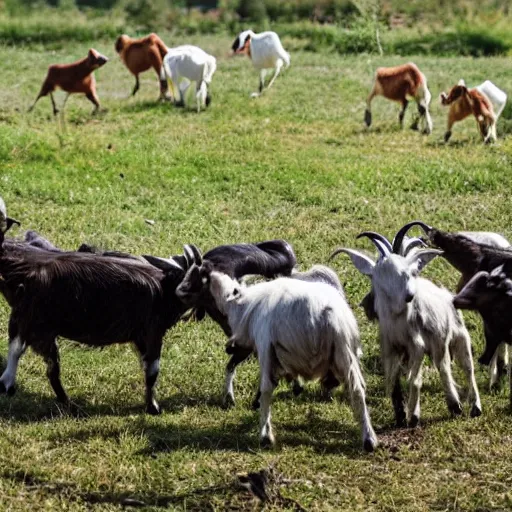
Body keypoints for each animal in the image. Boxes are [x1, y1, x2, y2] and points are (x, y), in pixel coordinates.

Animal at [206, 270, 378, 450]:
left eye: (231, 289)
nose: (211, 275)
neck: (247, 308)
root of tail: (320, 315)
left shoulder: (266, 349)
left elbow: (266, 388)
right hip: (345, 352)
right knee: (357, 390)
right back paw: (368, 439)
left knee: (267, 389)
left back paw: (265, 436)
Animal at [330, 220, 482, 428]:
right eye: (382, 273)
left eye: (410, 272)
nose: (409, 295)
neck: (397, 320)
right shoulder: (390, 347)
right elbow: (393, 380)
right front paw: (400, 415)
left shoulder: (416, 346)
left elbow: (414, 380)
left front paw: (414, 417)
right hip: (438, 344)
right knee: (443, 367)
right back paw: (454, 405)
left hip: (460, 338)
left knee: (467, 368)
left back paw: (474, 408)